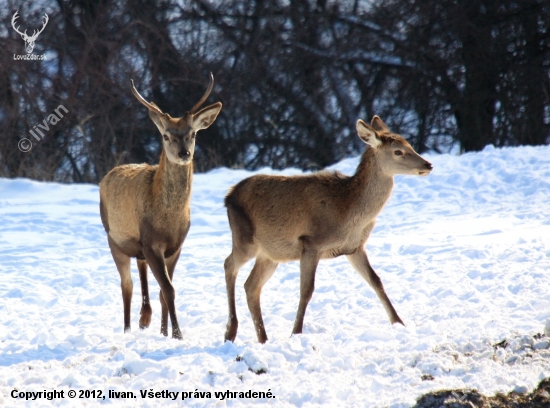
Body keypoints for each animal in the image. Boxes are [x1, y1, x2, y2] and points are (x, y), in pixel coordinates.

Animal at [99, 73, 222, 338]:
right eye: (166, 135)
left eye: (193, 134)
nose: (184, 153)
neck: (168, 219)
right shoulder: (151, 242)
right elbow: (168, 289)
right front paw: (178, 334)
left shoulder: (175, 246)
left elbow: (165, 291)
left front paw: (165, 333)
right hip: (114, 240)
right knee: (126, 285)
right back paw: (128, 329)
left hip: (138, 248)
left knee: (140, 269)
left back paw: (145, 318)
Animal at [224, 116, 436, 342]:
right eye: (398, 151)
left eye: (410, 145)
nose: (428, 164)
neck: (349, 213)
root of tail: (228, 196)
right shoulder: (311, 243)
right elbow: (306, 290)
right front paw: (296, 333)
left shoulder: (355, 247)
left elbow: (376, 281)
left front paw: (399, 323)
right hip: (245, 238)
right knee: (229, 265)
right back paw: (231, 331)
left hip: (271, 253)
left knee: (251, 285)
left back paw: (263, 339)